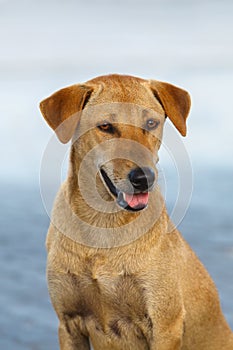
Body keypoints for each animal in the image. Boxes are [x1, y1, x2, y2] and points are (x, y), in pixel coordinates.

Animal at [39, 73, 232, 348]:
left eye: (151, 123)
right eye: (105, 126)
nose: (144, 178)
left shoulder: (164, 326)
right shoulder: (68, 324)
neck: (104, 222)